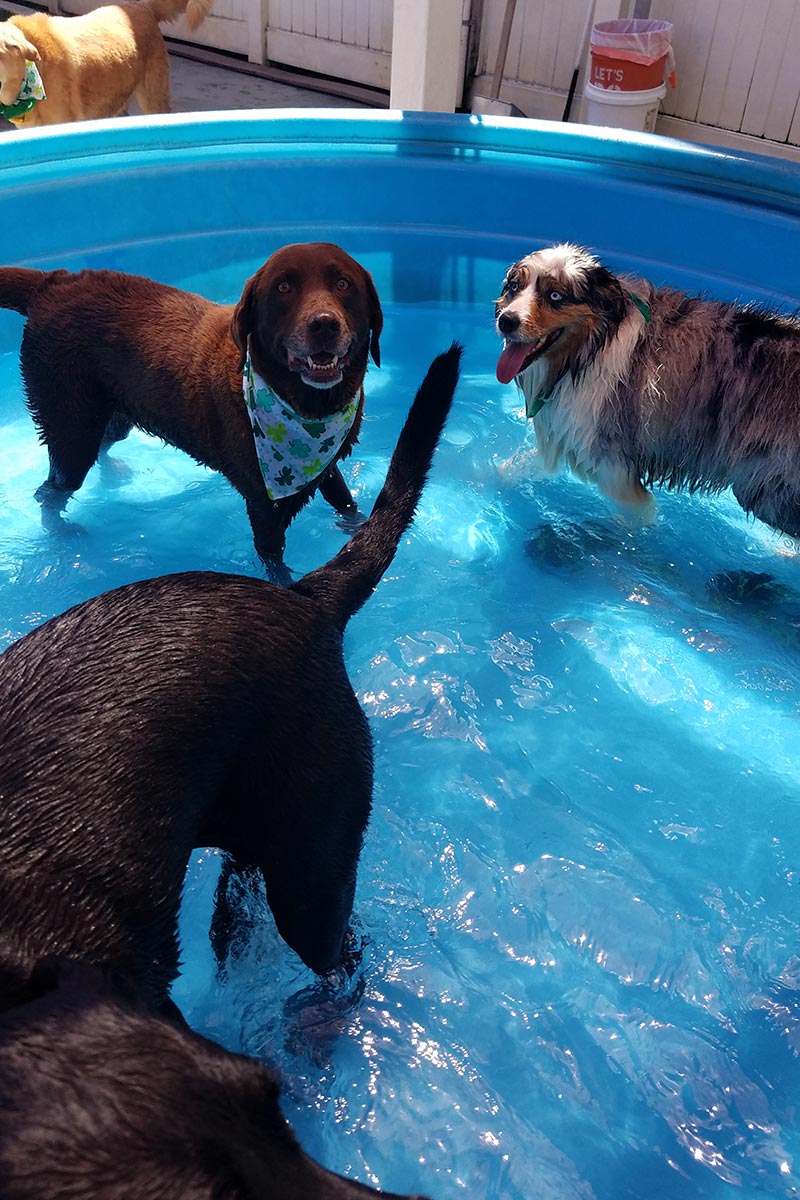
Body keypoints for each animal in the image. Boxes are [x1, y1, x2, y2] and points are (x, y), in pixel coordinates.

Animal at [494, 241, 800, 537]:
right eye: (514, 287)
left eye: (555, 296)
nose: (506, 321)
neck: (588, 350)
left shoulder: (616, 471)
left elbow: (634, 520)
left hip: (766, 489)